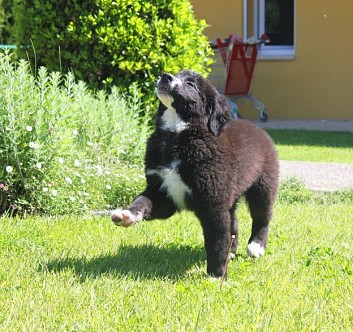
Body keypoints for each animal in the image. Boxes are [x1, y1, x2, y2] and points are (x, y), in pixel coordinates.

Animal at [110, 71, 278, 278]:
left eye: (191, 84)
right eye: (177, 74)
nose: (165, 76)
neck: (177, 134)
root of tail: (258, 129)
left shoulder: (212, 203)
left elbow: (216, 241)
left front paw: (216, 275)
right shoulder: (161, 192)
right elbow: (142, 201)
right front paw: (127, 215)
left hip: (264, 185)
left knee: (262, 217)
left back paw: (256, 246)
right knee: (234, 222)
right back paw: (232, 251)